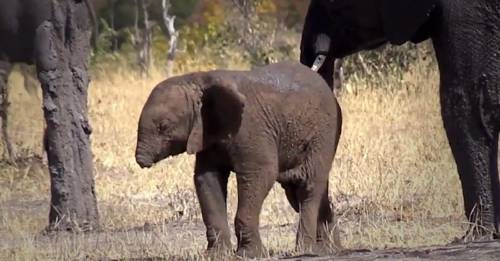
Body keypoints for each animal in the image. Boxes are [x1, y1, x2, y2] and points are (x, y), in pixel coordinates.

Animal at [135, 62, 342, 256]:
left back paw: (306, 250)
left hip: (324, 133)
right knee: (301, 190)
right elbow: (207, 179)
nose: (141, 161)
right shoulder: (209, 134)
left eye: (163, 126)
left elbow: (261, 173)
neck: (198, 80)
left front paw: (249, 255)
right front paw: (216, 255)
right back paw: (329, 249)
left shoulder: (250, 127)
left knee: (308, 187)